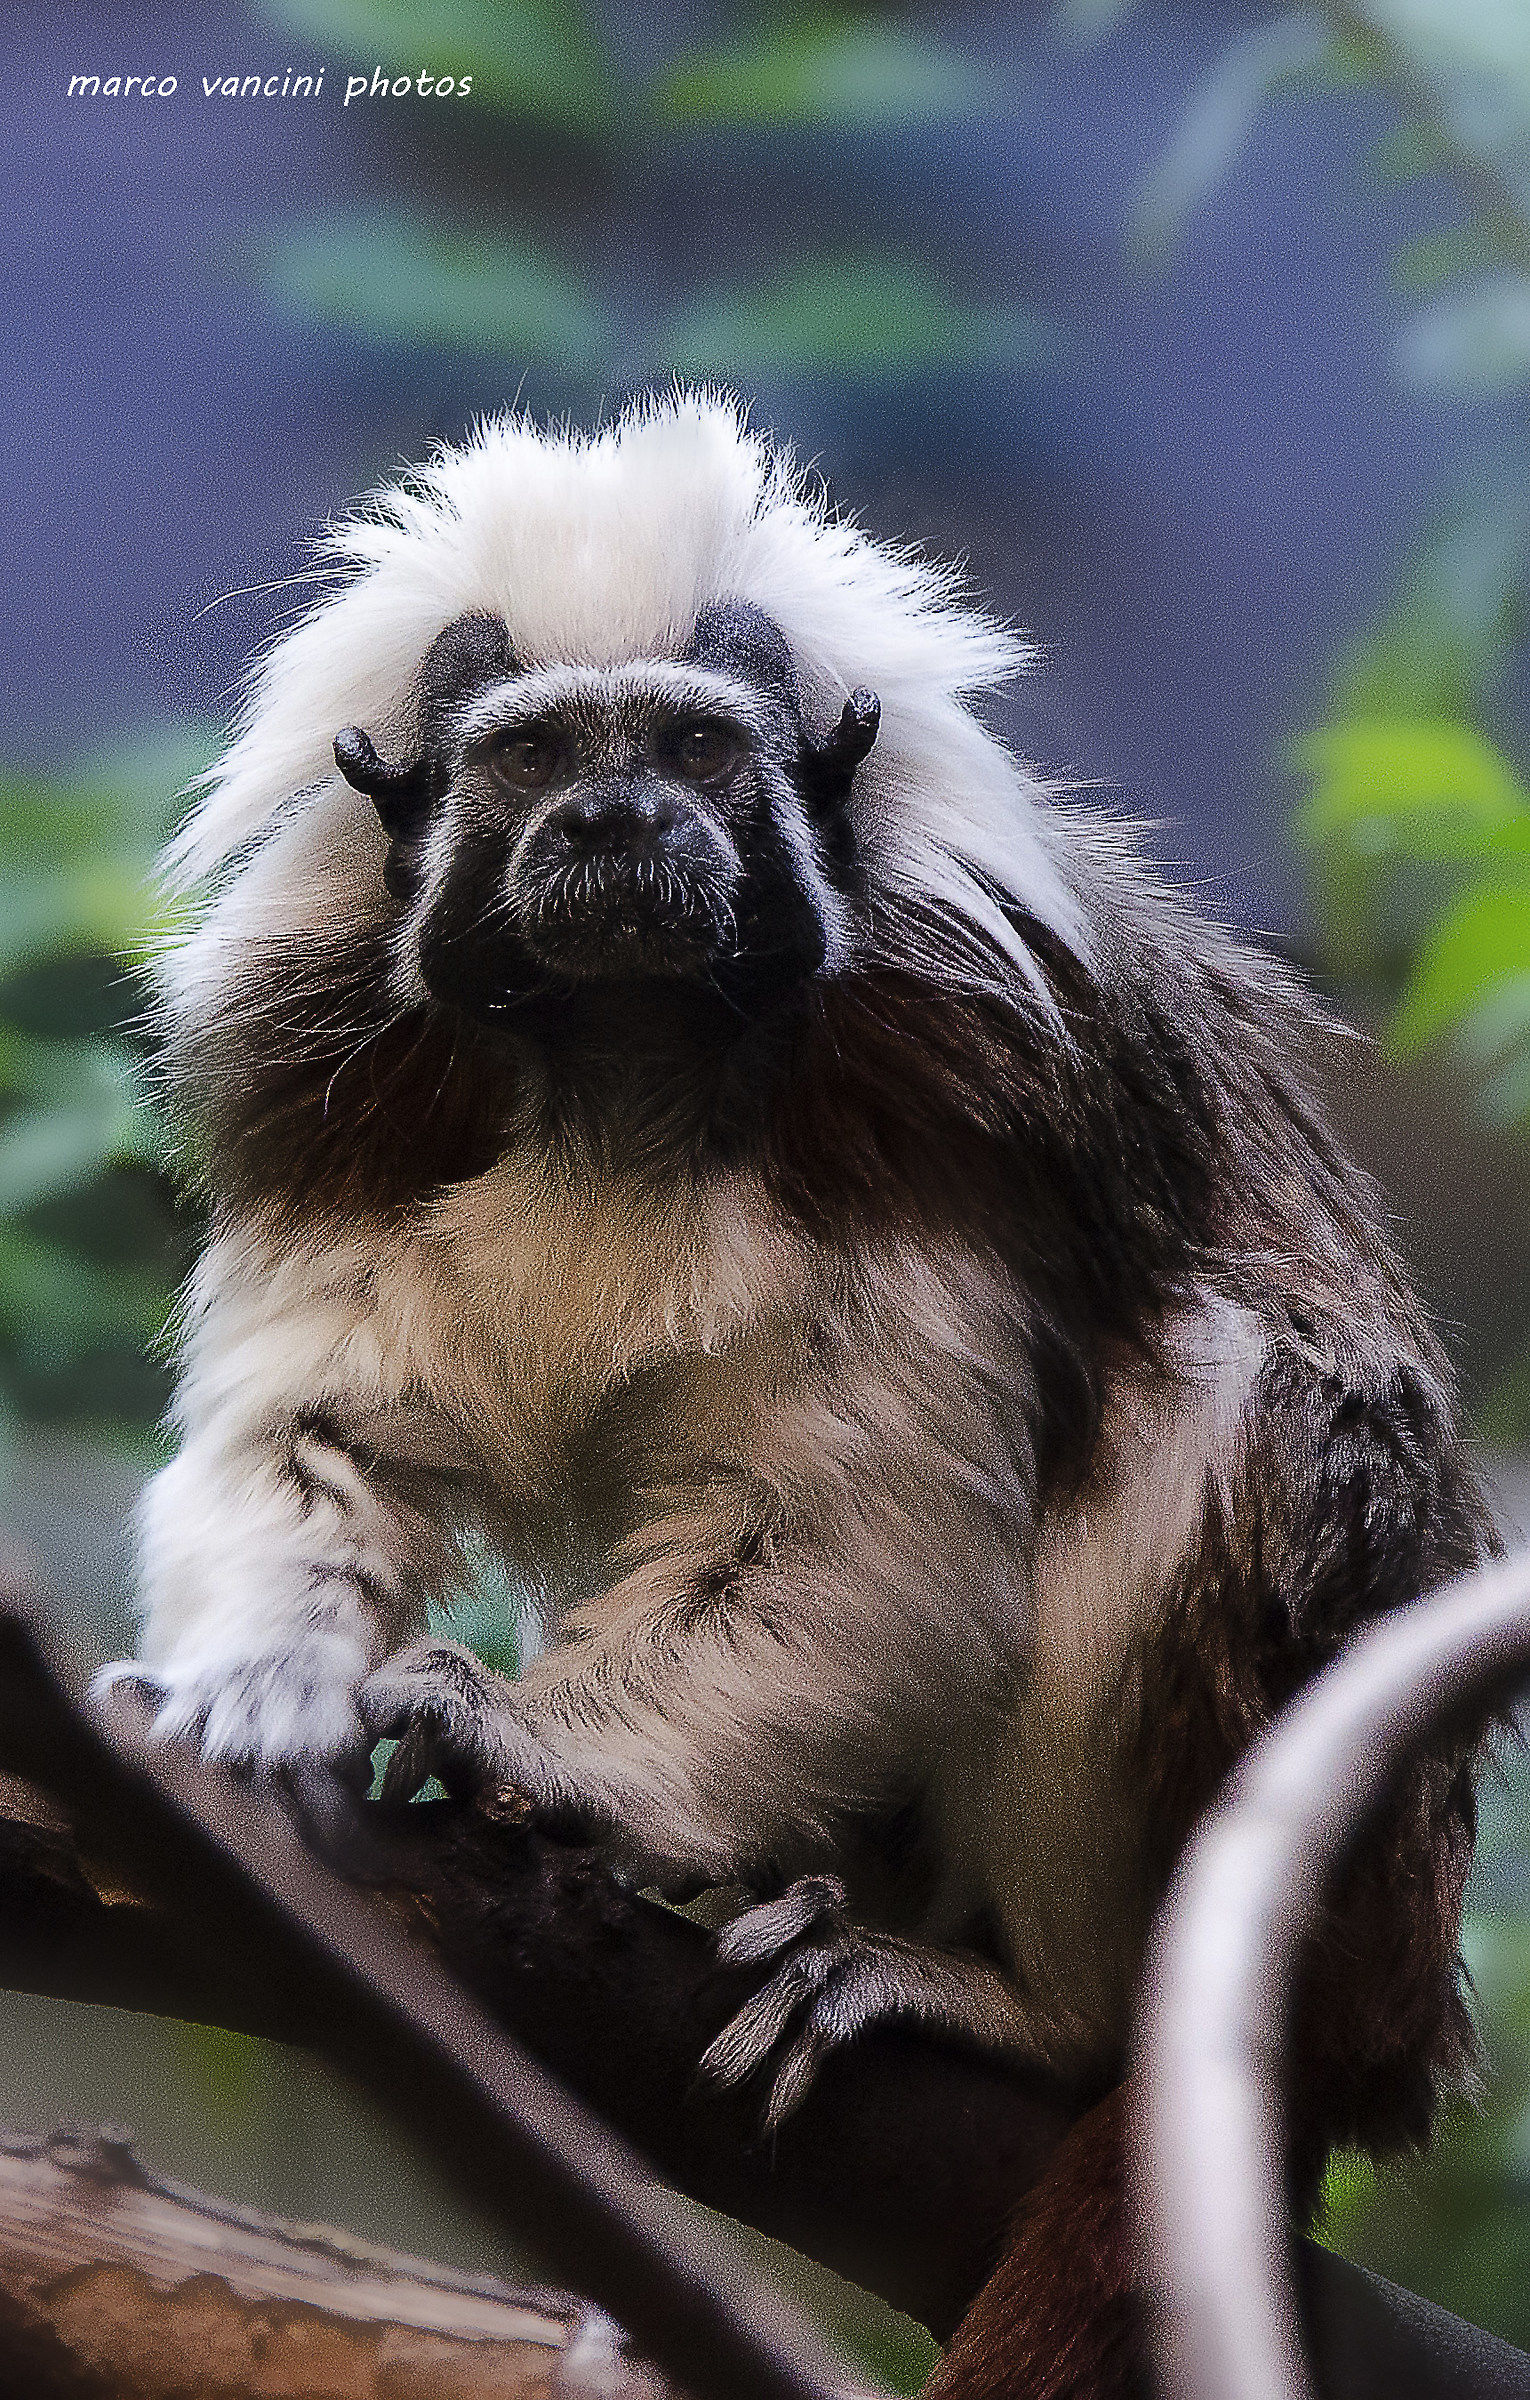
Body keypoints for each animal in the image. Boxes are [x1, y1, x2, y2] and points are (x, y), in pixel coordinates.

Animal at [101, 395, 1491, 2397]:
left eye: (693, 747)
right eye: (533, 759)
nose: (618, 818)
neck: (624, 1057)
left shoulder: (944, 1069)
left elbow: (860, 1537)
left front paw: (519, 1744)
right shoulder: (335, 1073)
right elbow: (318, 1437)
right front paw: (256, 1693)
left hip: (1351, 1912)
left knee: (1234, 1402)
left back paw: (1031, 2011)